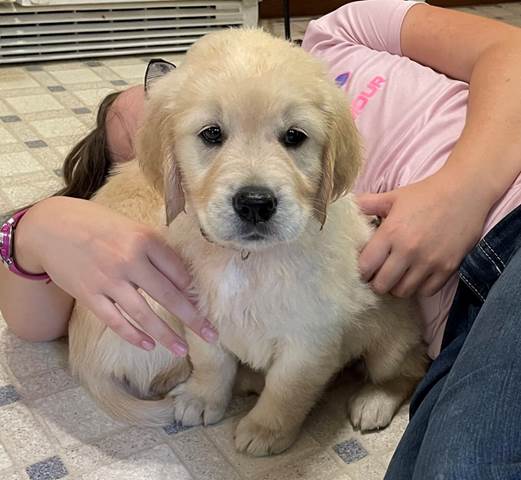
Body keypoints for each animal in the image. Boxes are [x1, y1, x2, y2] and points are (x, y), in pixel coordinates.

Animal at [69, 28, 426, 456]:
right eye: (211, 134)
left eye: (294, 136)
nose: (255, 203)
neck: (248, 260)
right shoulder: (199, 315)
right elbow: (211, 363)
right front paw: (204, 399)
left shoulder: (311, 337)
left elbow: (288, 389)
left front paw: (266, 430)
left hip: (390, 329)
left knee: (410, 366)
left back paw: (374, 400)